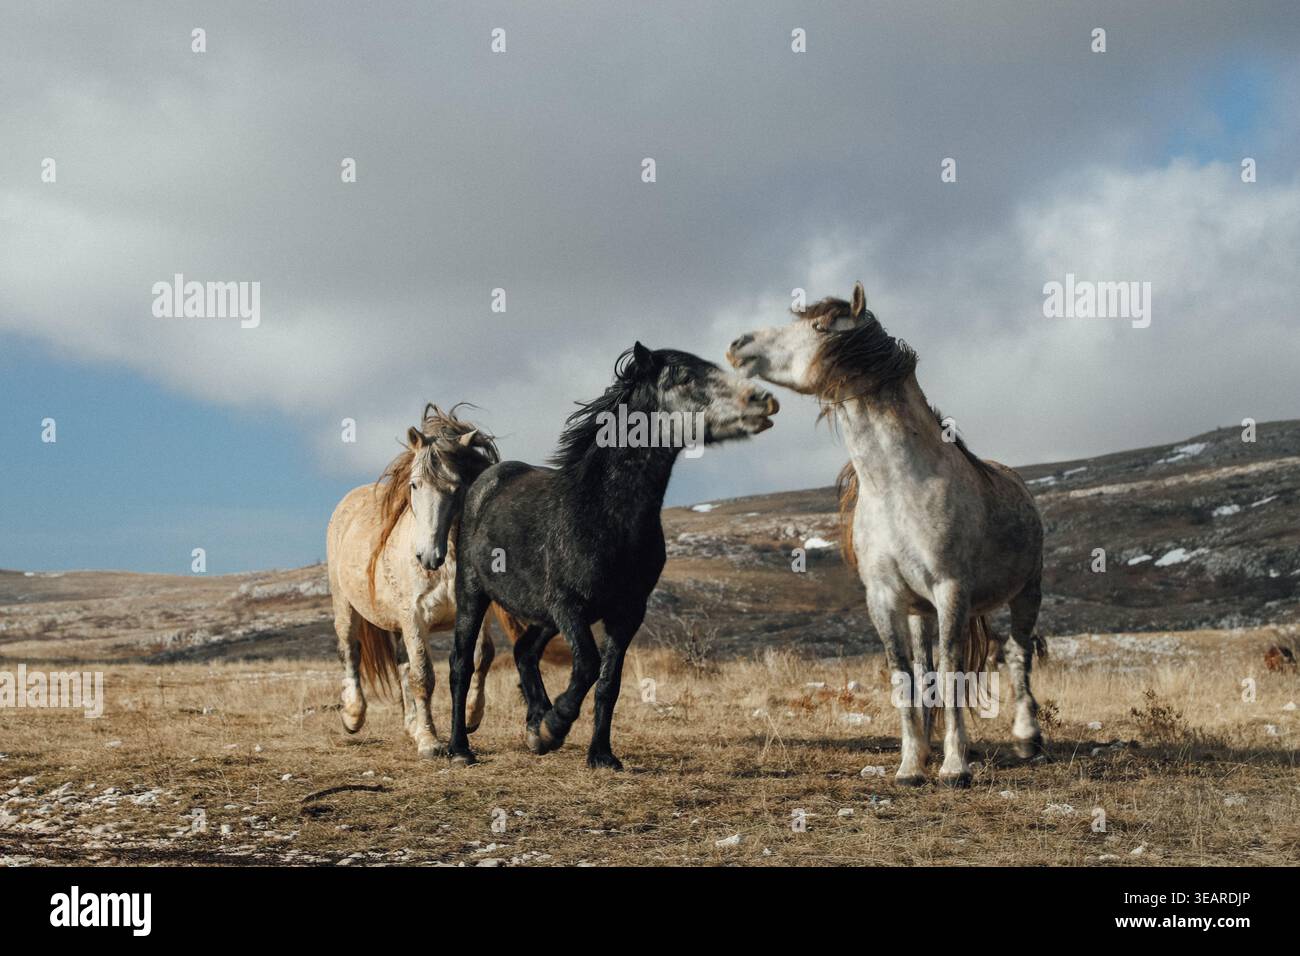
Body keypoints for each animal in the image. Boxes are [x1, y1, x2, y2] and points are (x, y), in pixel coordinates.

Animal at [326, 403, 534, 758]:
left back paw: (410, 724)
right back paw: (353, 715)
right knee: (350, 650)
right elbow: (423, 675)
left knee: (401, 664)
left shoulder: (471, 611)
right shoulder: (415, 617)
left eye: (458, 487)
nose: (427, 556)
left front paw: (470, 717)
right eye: (414, 485)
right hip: (346, 606)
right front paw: (430, 741)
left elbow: (480, 656)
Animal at [444, 342, 780, 769]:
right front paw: (555, 727)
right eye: (686, 377)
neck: (600, 513)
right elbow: (587, 665)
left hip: (543, 615)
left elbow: (609, 682)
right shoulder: (568, 605)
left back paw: (534, 723)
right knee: (461, 664)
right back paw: (460, 748)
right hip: (474, 594)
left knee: (524, 651)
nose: (763, 400)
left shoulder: (627, 612)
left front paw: (598, 754)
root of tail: (485, 480)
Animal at [728, 283, 1045, 787]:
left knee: (1017, 654)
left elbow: (954, 669)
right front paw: (911, 765)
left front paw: (955, 768)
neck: (901, 486)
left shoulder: (951, 590)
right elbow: (903, 675)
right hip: (920, 612)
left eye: (819, 325)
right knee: (926, 665)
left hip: (1026, 592)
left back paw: (1026, 738)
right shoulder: (884, 598)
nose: (739, 344)